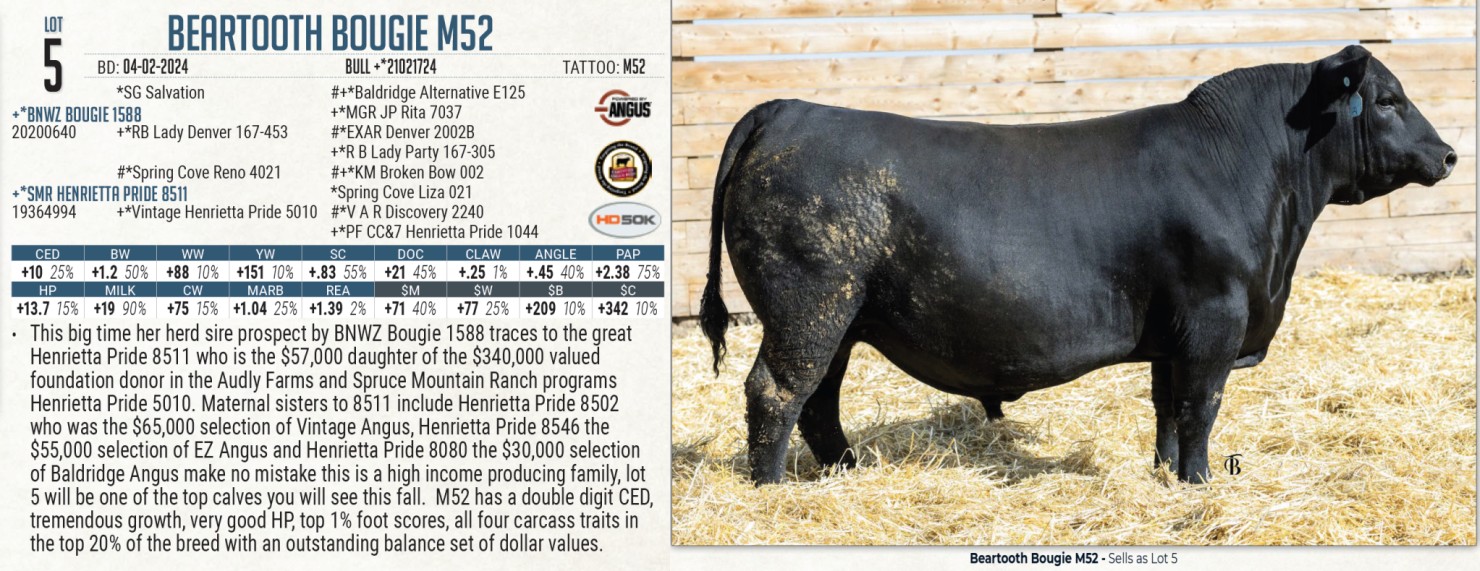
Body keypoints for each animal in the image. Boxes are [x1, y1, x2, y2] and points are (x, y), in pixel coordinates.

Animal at [699, 46, 1456, 485]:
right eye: (1388, 99)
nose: (1448, 154)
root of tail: (789, 109)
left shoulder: (1175, 334)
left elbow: (1166, 409)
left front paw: (1166, 476)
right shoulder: (1215, 319)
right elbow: (1201, 408)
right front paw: (1201, 484)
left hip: (842, 318)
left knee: (819, 401)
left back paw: (848, 473)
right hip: (808, 308)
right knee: (777, 392)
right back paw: (771, 489)